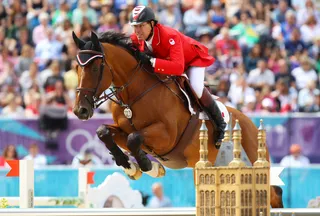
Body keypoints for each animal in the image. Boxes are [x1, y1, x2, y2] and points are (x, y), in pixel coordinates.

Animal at [72, 30, 282, 208]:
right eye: (76, 68)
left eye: (95, 68)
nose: (80, 110)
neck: (134, 93)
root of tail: (251, 124)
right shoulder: (124, 131)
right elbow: (104, 132)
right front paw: (131, 167)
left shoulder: (166, 136)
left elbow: (134, 139)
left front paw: (149, 166)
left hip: (253, 159)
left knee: (272, 192)